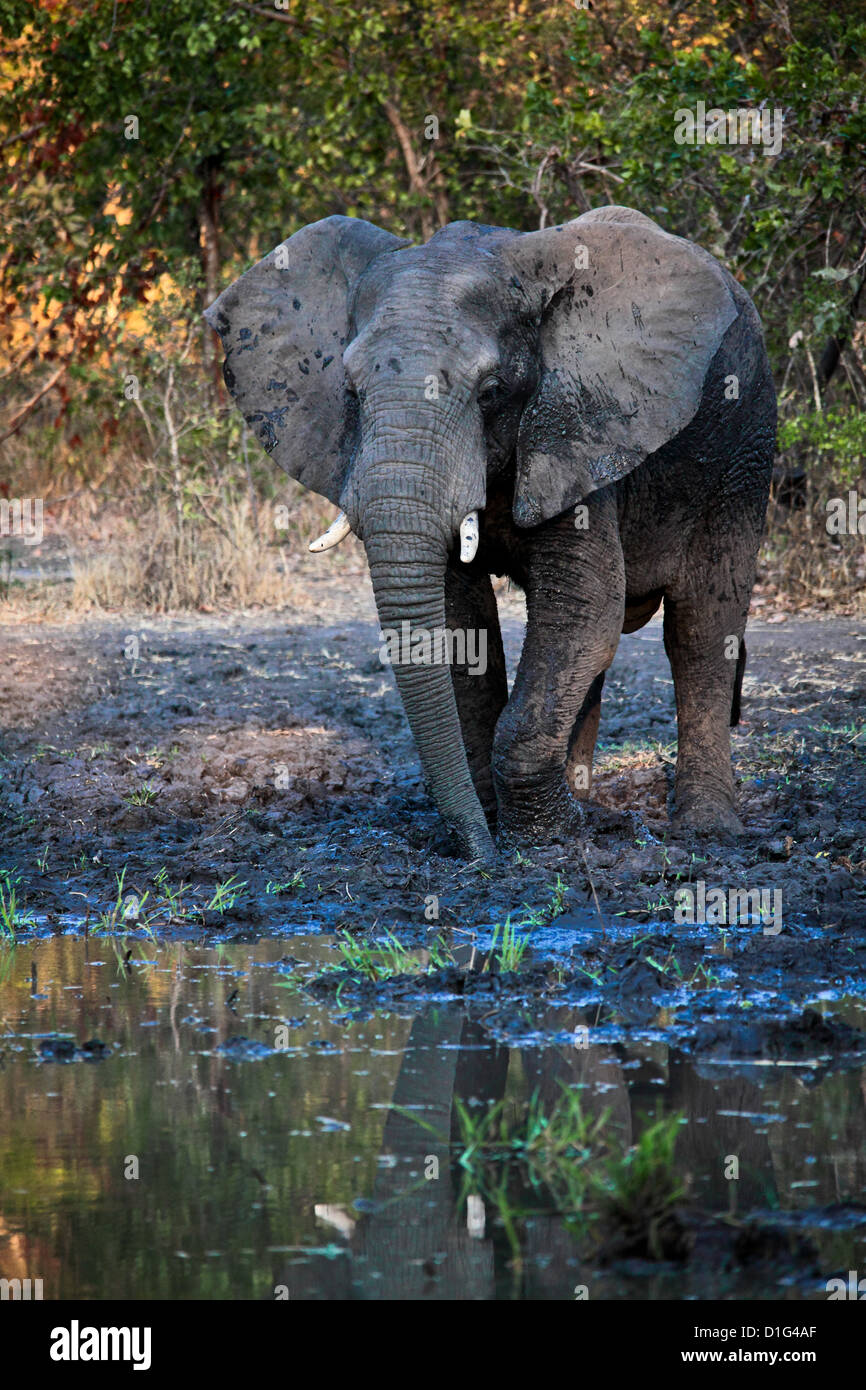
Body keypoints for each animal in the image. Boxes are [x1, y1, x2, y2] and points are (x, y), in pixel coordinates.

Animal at [204, 207, 778, 861]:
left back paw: (706, 830)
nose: (479, 854)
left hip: (746, 439)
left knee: (701, 627)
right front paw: (514, 826)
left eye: (491, 391)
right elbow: (463, 621)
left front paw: (544, 840)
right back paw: (586, 800)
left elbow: (584, 605)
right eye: (348, 391)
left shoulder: (579, 431)